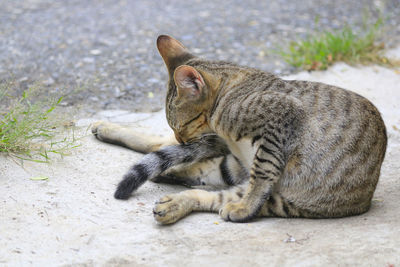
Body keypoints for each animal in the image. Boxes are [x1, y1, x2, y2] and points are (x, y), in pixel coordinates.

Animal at [91, 34, 388, 225]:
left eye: (182, 124)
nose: (181, 138)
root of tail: (366, 199)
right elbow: (160, 141)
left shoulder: (282, 119)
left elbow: (262, 174)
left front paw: (246, 207)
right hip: (232, 166)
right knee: (197, 173)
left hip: (279, 198)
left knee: (217, 194)